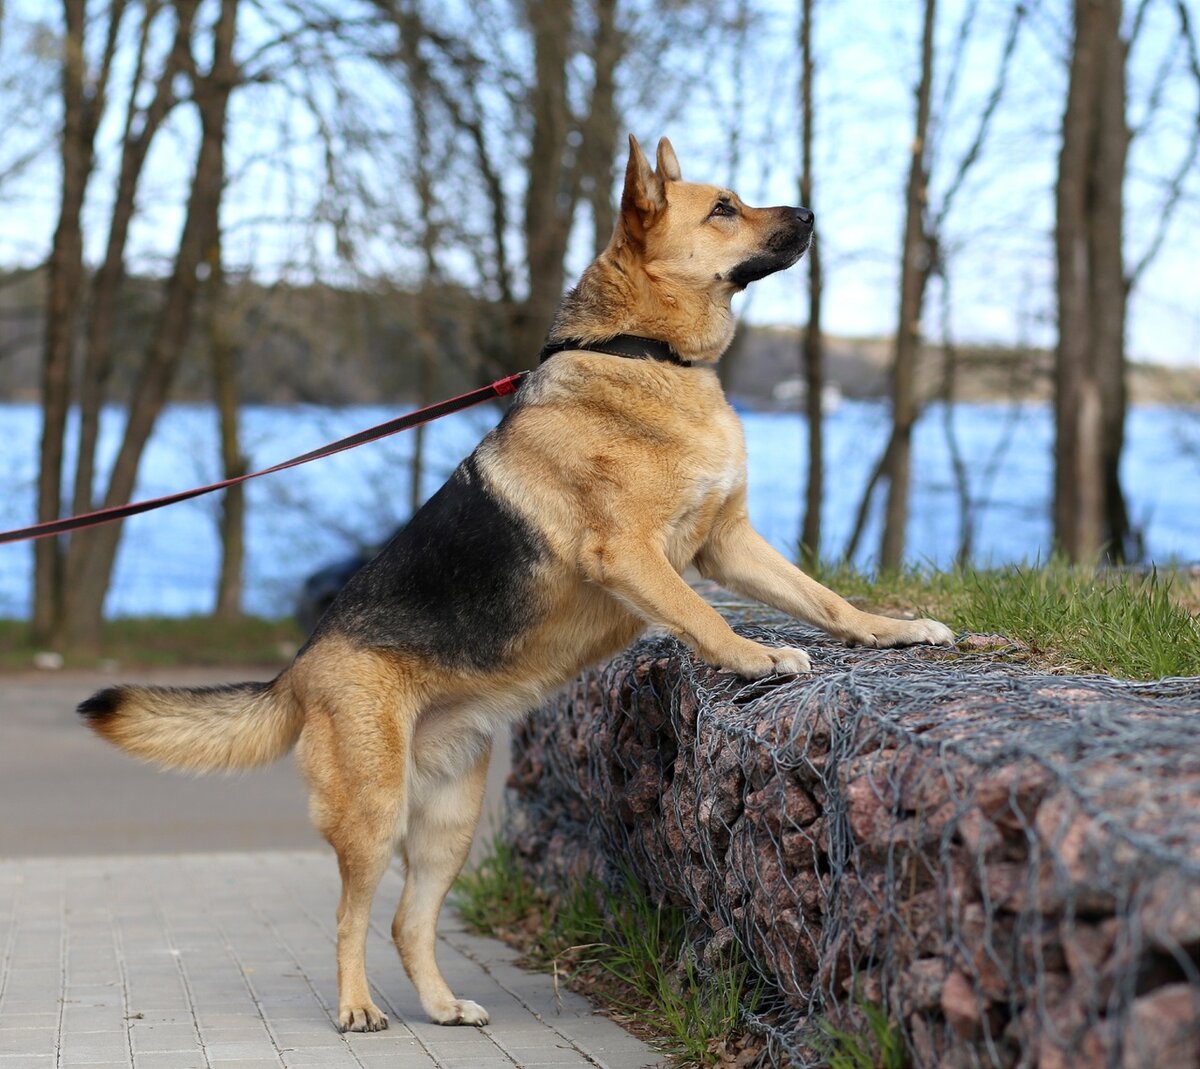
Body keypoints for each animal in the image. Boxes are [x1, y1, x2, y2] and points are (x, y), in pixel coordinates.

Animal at [77, 137, 955, 1031]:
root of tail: (301, 664)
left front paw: (893, 630)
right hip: (374, 809)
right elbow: (702, 618)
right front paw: (756, 656)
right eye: (723, 209)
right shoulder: (635, 556)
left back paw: (442, 1005)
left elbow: (823, 597)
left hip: (450, 819)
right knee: (351, 914)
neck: (640, 350)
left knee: (406, 919)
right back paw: (357, 1006)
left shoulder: (729, 542)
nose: (810, 215)